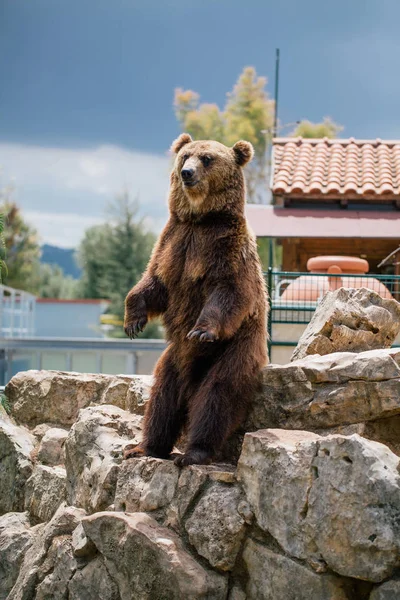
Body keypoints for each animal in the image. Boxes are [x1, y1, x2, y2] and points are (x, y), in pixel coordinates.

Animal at [122, 134, 268, 466]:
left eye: (207, 159)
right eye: (185, 155)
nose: (187, 173)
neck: (200, 219)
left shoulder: (225, 247)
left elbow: (229, 291)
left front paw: (202, 330)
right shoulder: (174, 242)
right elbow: (154, 284)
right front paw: (133, 321)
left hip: (234, 352)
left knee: (216, 395)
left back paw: (194, 452)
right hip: (172, 360)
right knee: (161, 400)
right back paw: (144, 447)